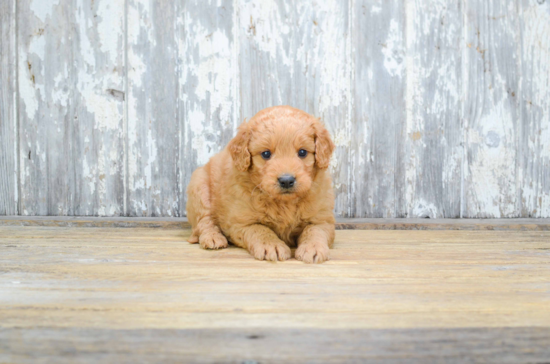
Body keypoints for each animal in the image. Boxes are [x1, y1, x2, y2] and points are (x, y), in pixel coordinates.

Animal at [187, 104, 336, 264]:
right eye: (266, 154)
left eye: (302, 152)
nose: (286, 180)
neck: (284, 203)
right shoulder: (240, 222)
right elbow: (260, 229)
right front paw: (272, 246)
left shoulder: (322, 219)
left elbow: (314, 230)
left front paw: (313, 247)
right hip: (199, 186)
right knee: (204, 220)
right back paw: (213, 238)